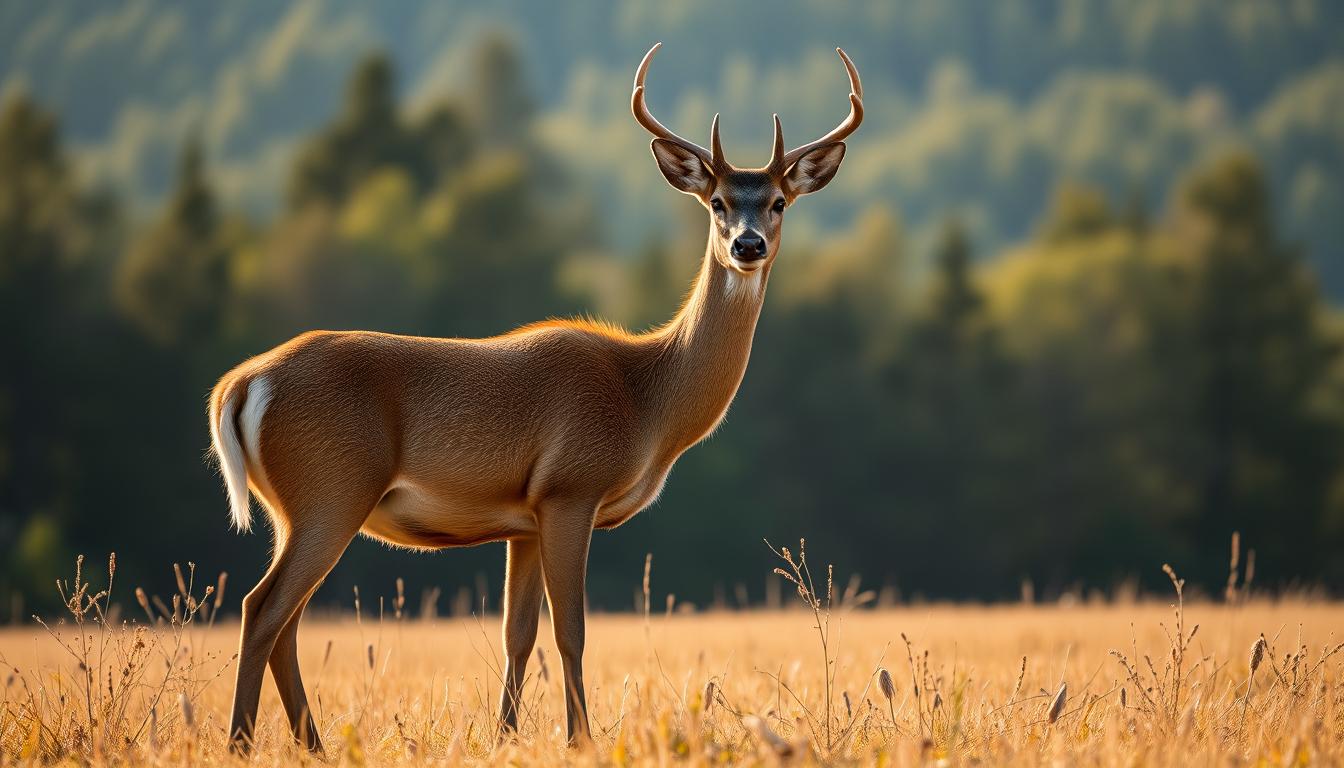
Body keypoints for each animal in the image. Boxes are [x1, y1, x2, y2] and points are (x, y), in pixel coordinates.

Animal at [209, 42, 862, 752]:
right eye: (716, 202)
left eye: (778, 202)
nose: (747, 244)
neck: (647, 399)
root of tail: (240, 384)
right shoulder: (570, 490)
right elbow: (571, 632)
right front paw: (582, 740)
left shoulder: (520, 521)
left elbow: (516, 635)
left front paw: (505, 736)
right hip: (330, 490)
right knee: (261, 608)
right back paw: (240, 741)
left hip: (298, 508)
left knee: (284, 622)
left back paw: (312, 744)